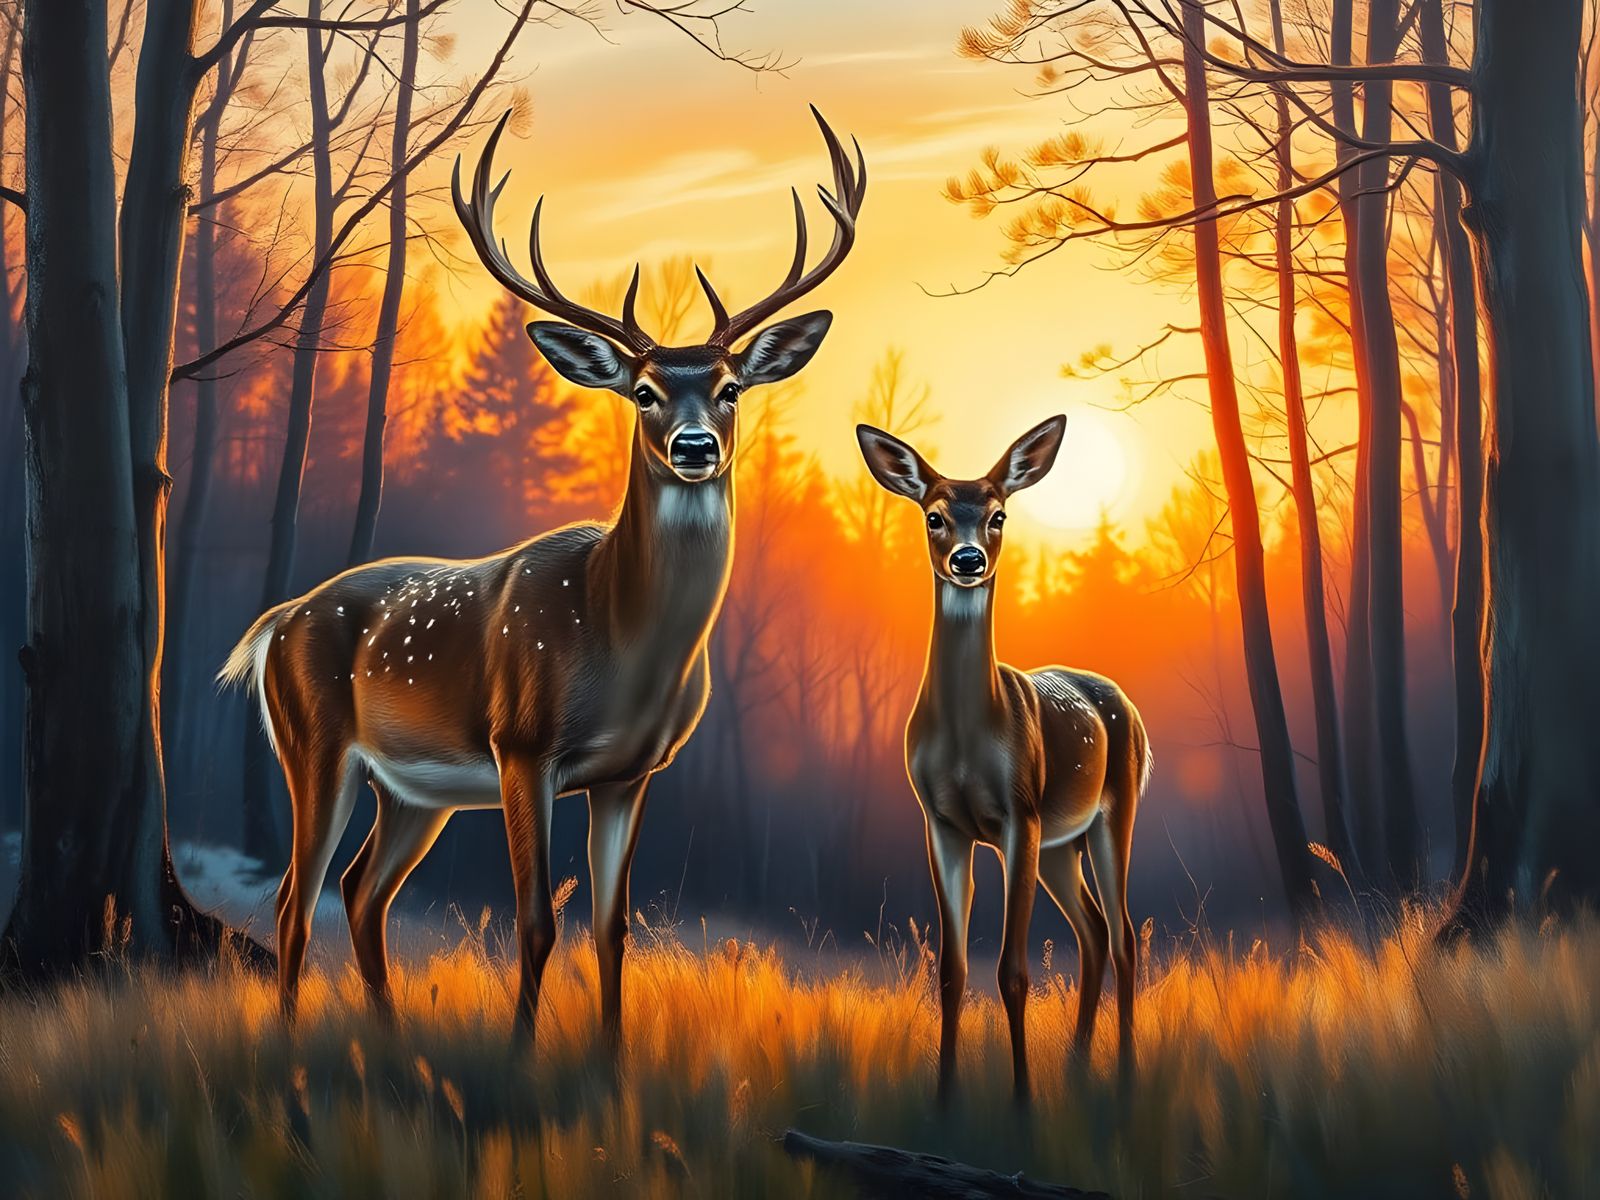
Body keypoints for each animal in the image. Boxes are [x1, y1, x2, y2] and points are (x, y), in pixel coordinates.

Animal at [218, 107, 866, 1048]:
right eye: (642, 391)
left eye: (732, 387)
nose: (694, 447)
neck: (623, 644)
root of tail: (278, 622)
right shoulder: (523, 744)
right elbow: (535, 921)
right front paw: (525, 1054)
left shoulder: (633, 772)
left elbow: (612, 925)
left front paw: (612, 1058)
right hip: (317, 743)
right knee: (293, 900)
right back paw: (293, 1042)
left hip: (416, 792)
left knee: (361, 893)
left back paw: (387, 1038)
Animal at [855, 417, 1150, 1103]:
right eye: (934, 516)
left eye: (998, 515)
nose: (968, 559)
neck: (968, 743)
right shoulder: (942, 824)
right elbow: (950, 972)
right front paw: (944, 1099)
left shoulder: (1019, 814)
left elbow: (1013, 972)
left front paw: (1022, 1101)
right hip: (1060, 844)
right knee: (1094, 931)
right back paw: (1076, 1066)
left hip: (1110, 814)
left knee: (1124, 934)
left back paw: (1123, 1073)